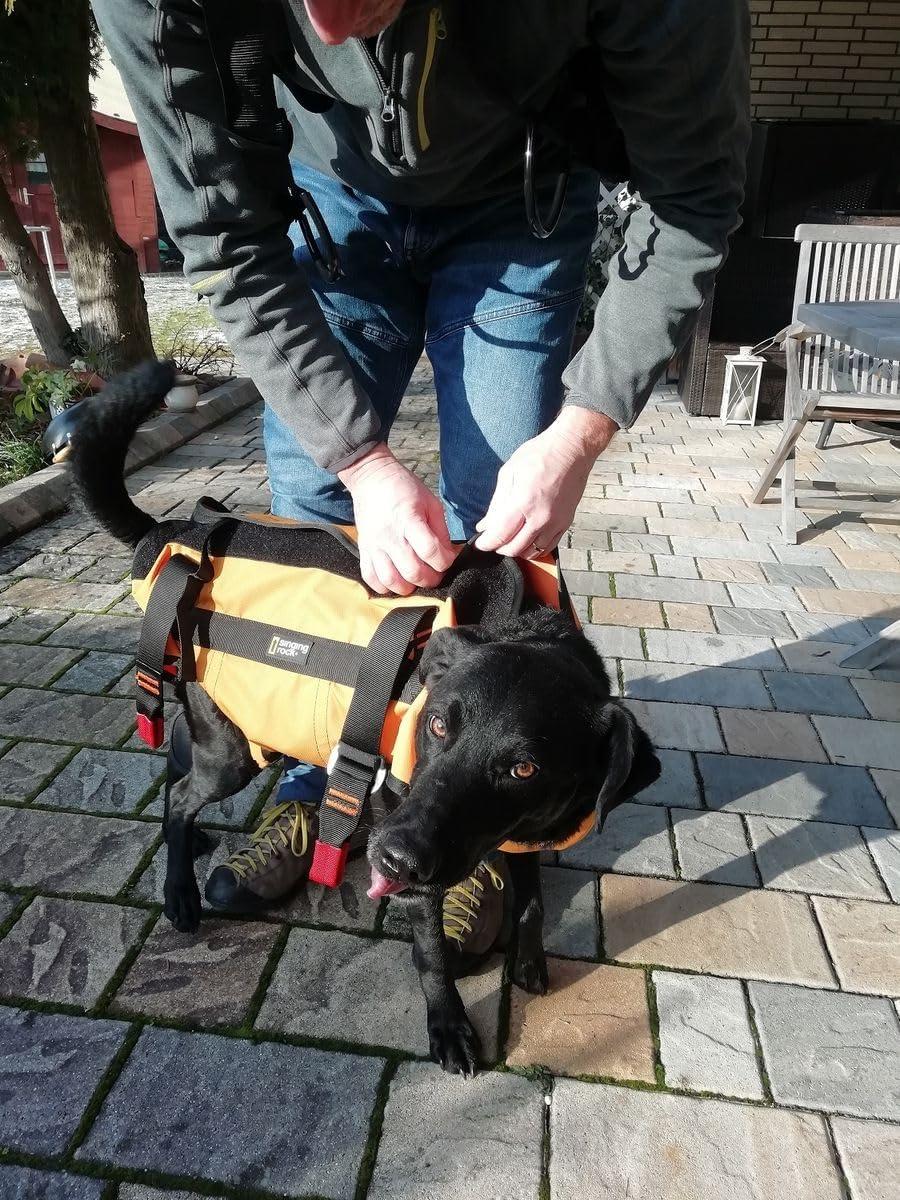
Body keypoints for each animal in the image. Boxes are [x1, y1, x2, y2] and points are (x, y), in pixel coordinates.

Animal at [68, 360, 662, 1075]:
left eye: (525, 768)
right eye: (438, 727)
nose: (395, 857)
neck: (521, 624)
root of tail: (172, 536)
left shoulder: (515, 831)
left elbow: (531, 900)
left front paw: (528, 960)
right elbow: (432, 955)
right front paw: (449, 1027)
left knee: (177, 774)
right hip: (233, 747)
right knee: (180, 795)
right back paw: (180, 889)